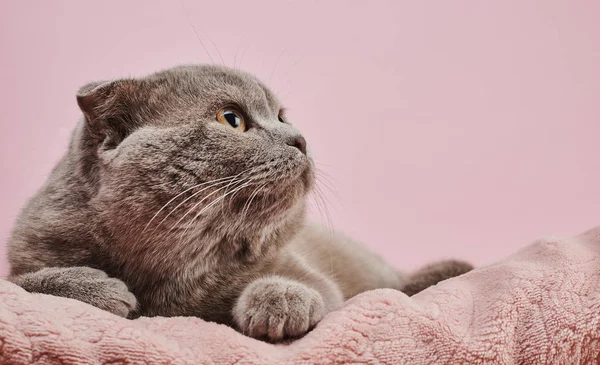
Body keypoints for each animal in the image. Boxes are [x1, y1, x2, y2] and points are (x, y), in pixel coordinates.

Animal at [5, 64, 474, 340]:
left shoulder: (309, 272)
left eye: (282, 116)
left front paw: (279, 302)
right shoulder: (28, 251)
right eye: (232, 119)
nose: (300, 138)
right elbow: (20, 283)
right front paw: (99, 287)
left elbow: (320, 290)